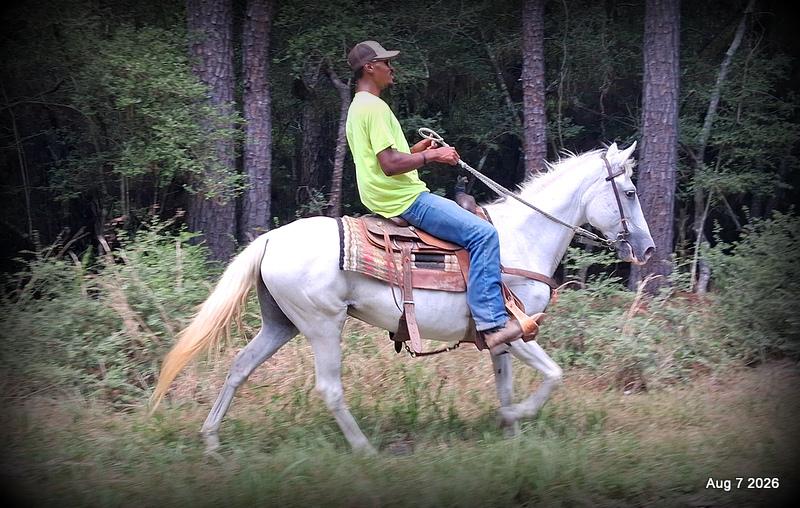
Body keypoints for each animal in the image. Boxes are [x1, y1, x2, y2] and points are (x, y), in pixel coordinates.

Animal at [150, 142, 655, 454]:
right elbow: (553, 376)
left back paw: (212, 441)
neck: (521, 240)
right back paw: (364, 450)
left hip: (282, 323)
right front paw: (517, 416)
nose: (647, 249)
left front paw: (510, 432)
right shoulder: (518, 331)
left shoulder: (500, 338)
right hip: (322, 325)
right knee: (329, 388)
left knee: (239, 368)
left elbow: (506, 384)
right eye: (629, 192)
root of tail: (271, 239)